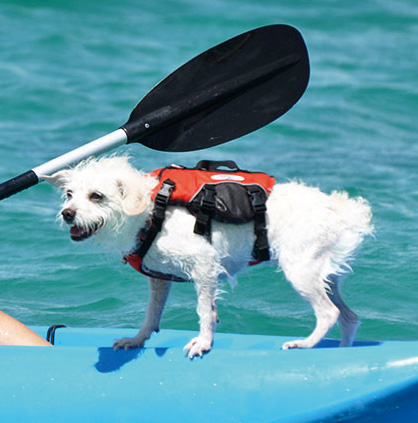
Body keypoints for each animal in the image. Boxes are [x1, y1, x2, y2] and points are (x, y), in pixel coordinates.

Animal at [45, 156, 372, 358]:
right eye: (70, 194)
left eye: (96, 196)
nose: (67, 213)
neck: (152, 210)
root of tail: (343, 211)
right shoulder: (159, 279)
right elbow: (152, 313)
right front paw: (137, 339)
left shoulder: (204, 265)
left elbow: (204, 311)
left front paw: (203, 342)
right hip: (326, 276)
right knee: (349, 317)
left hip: (301, 271)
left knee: (329, 313)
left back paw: (304, 345)